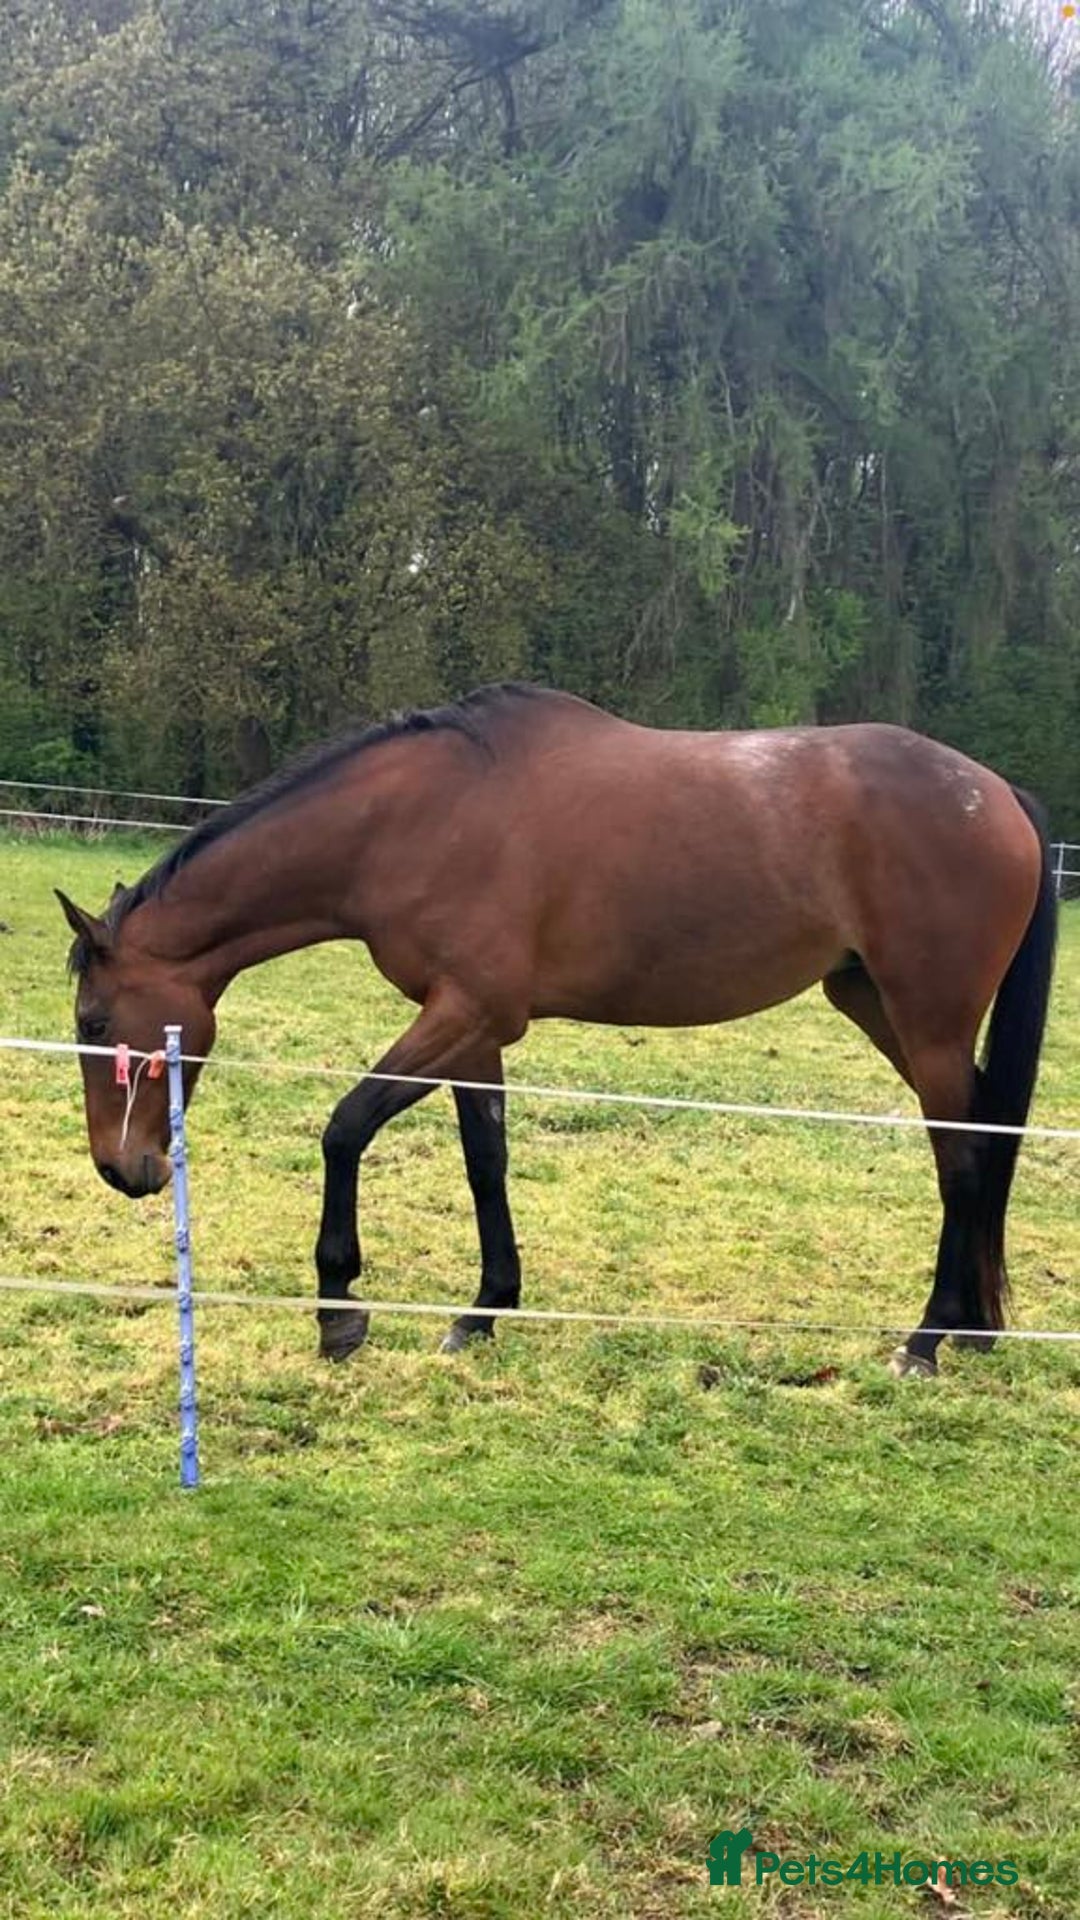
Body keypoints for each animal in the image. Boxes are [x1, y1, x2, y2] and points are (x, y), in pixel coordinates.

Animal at [58, 682, 1056, 1377]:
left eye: (96, 1020)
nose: (122, 1169)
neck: (415, 821)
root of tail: (998, 792)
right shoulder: (473, 1032)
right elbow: (485, 1161)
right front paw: (485, 1310)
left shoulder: (465, 1013)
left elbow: (344, 1128)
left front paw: (340, 1310)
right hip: (875, 1003)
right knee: (975, 1144)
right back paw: (971, 1328)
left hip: (926, 1019)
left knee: (964, 1157)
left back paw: (925, 1341)